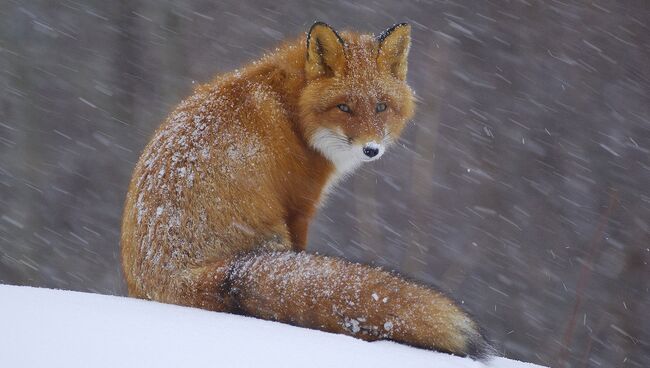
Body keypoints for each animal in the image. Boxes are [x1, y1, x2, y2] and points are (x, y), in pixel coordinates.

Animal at [120, 21, 492, 358]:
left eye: (381, 107)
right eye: (344, 107)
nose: (371, 149)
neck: (293, 111)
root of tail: (171, 276)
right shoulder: (299, 206)